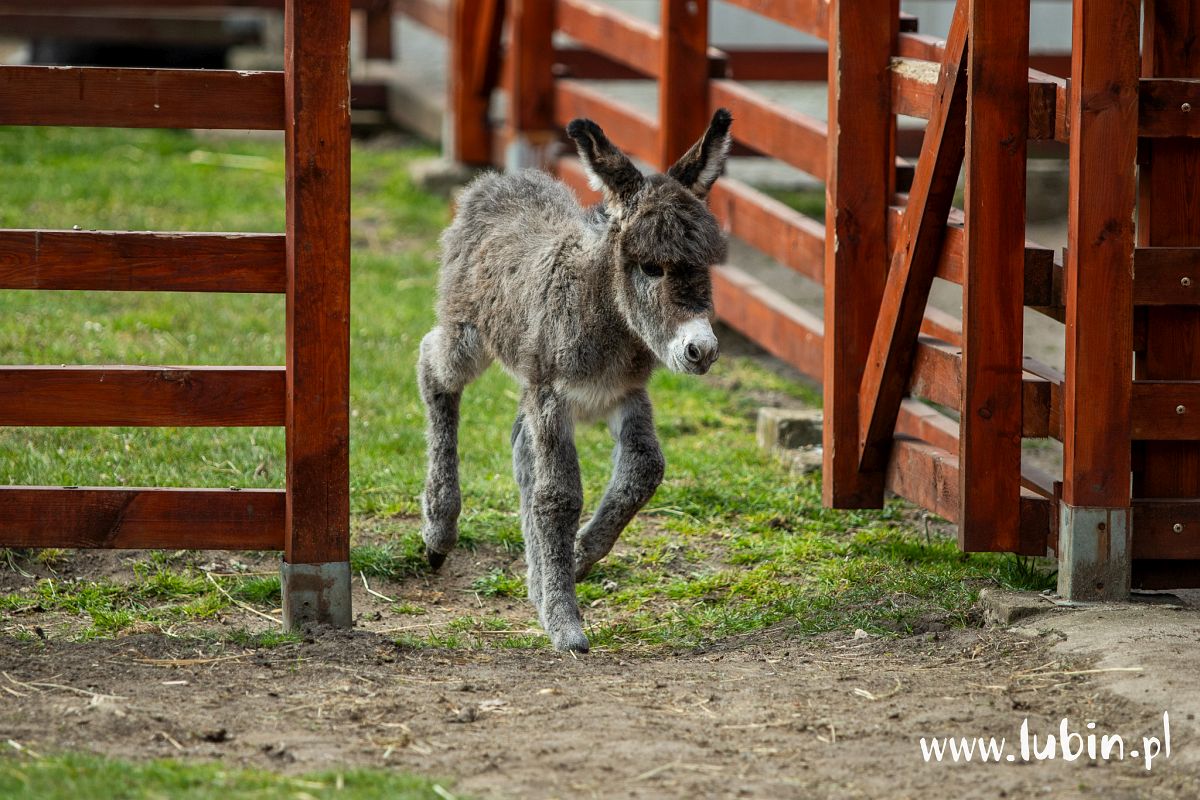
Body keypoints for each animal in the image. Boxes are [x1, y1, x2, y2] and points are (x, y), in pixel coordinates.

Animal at [417, 107, 729, 652]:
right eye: (650, 268)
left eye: (705, 266)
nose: (702, 350)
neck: (606, 316)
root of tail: (500, 179)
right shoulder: (553, 397)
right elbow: (558, 496)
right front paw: (565, 623)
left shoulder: (625, 395)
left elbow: (644, 472)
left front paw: (575, 562)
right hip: (470, 336)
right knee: (433, 366)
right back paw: (440, 532)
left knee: (521, 443)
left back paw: (535, 579)